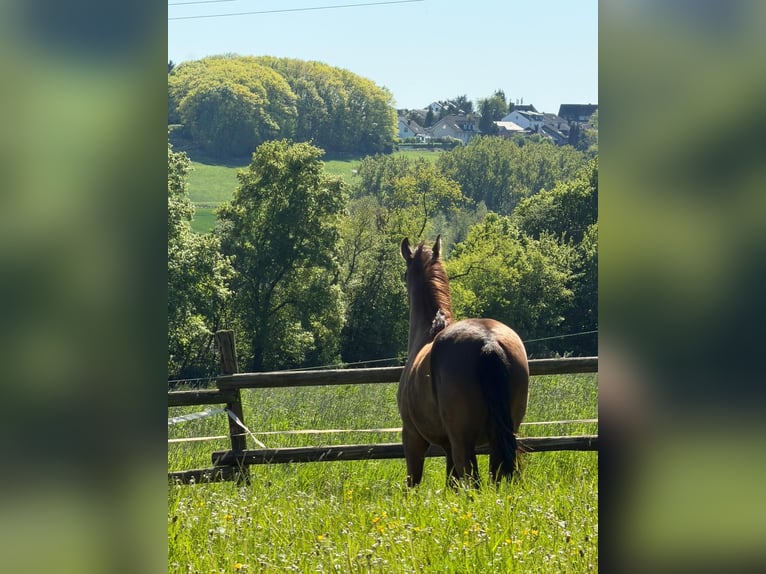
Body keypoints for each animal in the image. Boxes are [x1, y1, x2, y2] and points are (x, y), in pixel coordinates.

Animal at [397, 236, 529, 487]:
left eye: (405, 274)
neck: (428, 332)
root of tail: (488, 341)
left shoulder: (413, 438)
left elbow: (413, 482)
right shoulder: (448, 445)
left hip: (462, 442)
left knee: (473, 481)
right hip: (503, 434)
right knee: (497, 476)